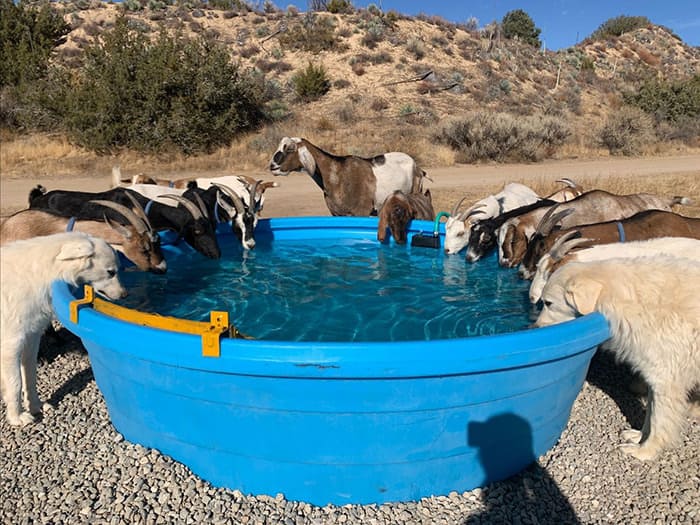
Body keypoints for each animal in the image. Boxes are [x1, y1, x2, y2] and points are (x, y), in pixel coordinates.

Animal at [1, 232, 126, 426]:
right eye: (111, 272)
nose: (124, 294)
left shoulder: (31, 338)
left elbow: (29, 376)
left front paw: (35, 406)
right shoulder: (11, 345)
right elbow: (15, 383)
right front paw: (16, 417)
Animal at [268, 137, 427, 216]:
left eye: (290, 148)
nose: (272, 166)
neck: (338, 175)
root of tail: (417, 166)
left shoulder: (361, 212)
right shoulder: (337, 214)